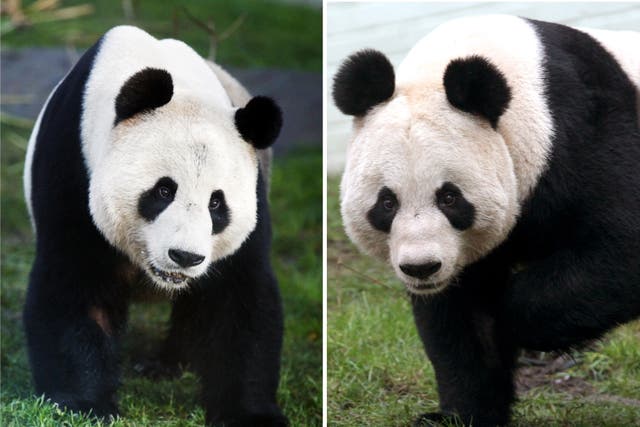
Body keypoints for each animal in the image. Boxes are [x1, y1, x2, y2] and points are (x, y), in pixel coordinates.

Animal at [21, 26, 288, 427]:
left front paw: (250, 415)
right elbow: (73, 286)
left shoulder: (253, 190)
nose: (185, 256)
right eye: (164, 190)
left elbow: (239, 299)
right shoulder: (72, 165)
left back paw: (164, 365)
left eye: (216, 203)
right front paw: (84, 405)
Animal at [332, 14, 636, 427]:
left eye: (449, 197)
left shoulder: (586, 131)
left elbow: (620, 248)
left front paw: (515, 323)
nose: (421, 267)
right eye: (387, 203)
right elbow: (458, 319)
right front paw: (461, 415)